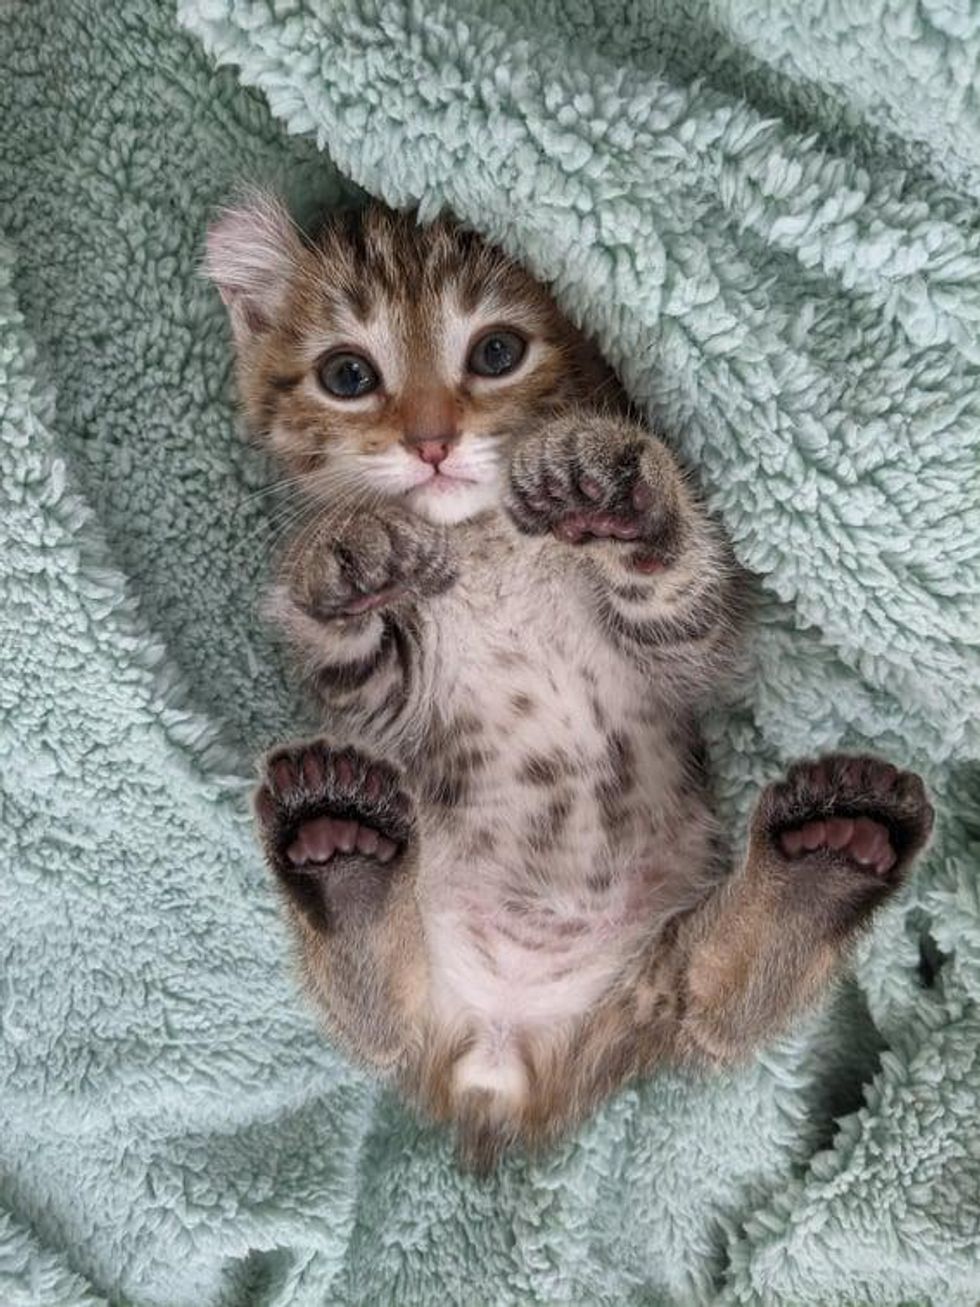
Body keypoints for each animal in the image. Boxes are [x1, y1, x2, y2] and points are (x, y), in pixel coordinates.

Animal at [205, 196, 935, 1176]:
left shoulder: (682, 653)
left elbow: (680, 593)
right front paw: (342, 554)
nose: (430, 442)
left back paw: (829, 853)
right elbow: (354, 662)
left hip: (650, 987)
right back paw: (342, 852)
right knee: (381, 1017)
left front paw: (618, 485)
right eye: (348, 374)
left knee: (714, 1001)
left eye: (497, 353)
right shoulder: (391, 700)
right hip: (429, 983)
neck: (481, 540)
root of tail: (504, 1055)